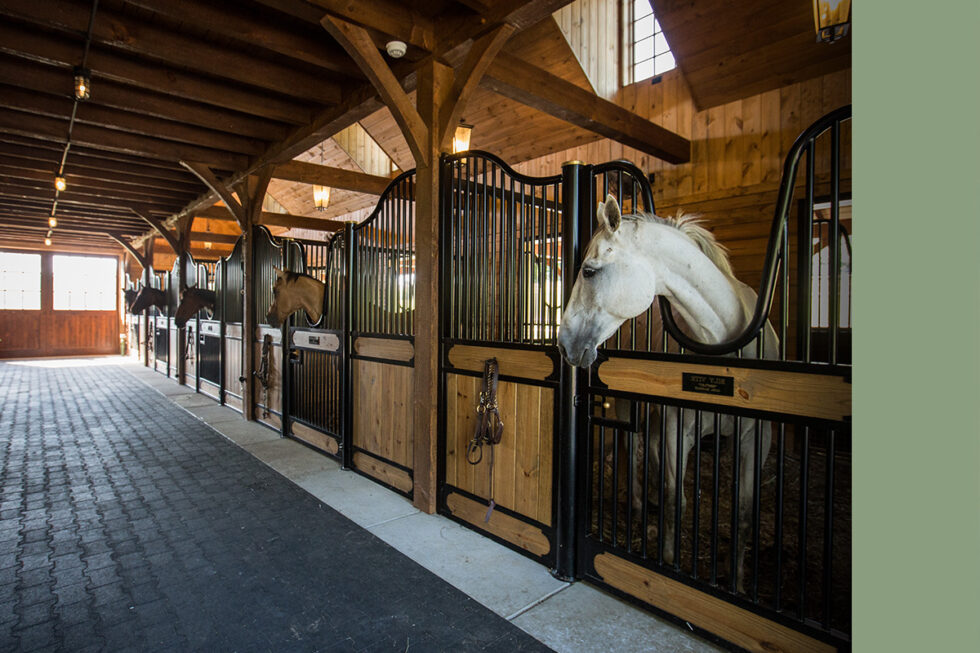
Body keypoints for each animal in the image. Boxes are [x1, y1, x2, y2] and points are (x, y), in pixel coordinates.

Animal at [558, 195, 778, 593]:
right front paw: (668, 562)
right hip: (630, 405)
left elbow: (741, 512)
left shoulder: (756, 437)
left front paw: (737, 581)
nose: (564, 343)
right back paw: (638, 505)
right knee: (633, 448)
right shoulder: (679, 428)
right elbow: (678, 499)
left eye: (589, 271)